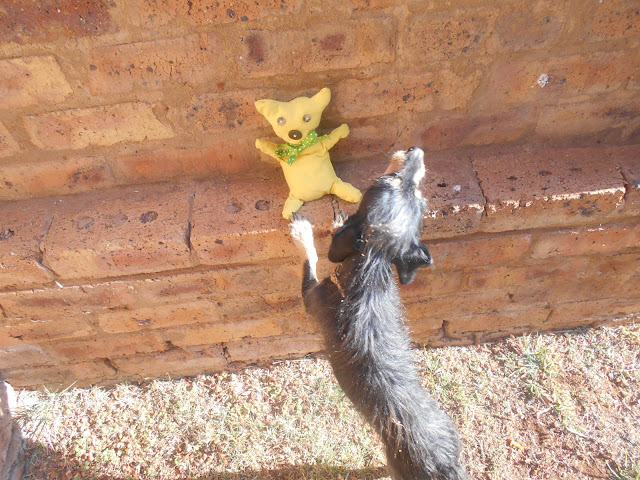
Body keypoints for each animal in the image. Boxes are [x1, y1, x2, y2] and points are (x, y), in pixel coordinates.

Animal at [290, 147, 468, 480]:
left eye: (386, 181)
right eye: (418, 195)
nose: (417, 151)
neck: (371, 267)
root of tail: (444, 463)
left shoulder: (313, 297)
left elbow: (311, 259)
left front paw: (302, 232)